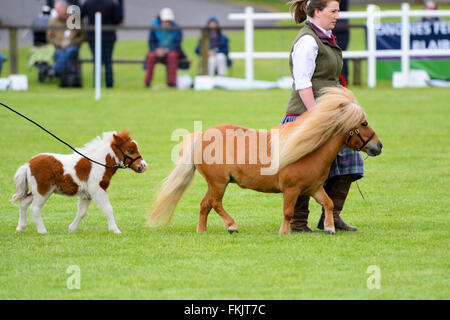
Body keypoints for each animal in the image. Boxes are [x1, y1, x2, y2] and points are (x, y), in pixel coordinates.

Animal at [12, 129, 147, 234]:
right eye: (130, 150)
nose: (143, 166)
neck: (99, 163)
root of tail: (28, 164)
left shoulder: (86, 194)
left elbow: (82, 212)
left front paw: (71, 229)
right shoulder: (97, 190)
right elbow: (108, 208)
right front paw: (115, 230)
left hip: (38, 190)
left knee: (24, 203)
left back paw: (20, 228)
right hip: (43, 190)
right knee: (34, 208)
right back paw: (42, 231)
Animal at [149, 87, 384, 235]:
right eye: (363, 123)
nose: (379, 146)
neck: (309, 149)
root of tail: (201, 136)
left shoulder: (314, 188)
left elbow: (329, 203)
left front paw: (329, 228)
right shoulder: (291, 189)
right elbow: (288, 212)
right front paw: (285, 232)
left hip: (216, 184)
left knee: (205, 205)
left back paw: (202, 231)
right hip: (218, 183)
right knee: (215, 203)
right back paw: (232, 225)